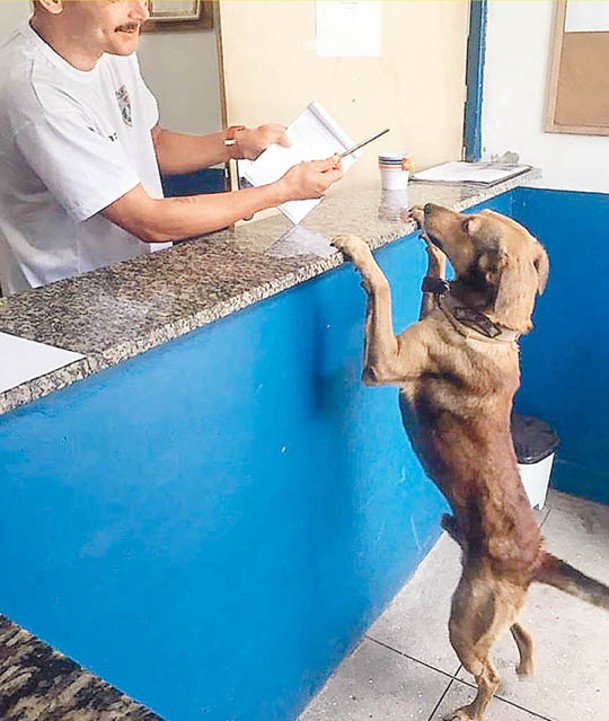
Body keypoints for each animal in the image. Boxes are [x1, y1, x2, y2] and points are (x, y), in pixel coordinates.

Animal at [332, 204, 608, 720]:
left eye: (468, 226)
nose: (427, 207)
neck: (486, 326)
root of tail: (536, 558)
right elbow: (428, 286)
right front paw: (432, 257)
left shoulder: (386, 361)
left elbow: (382, 285)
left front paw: (359, 252)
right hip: (484, 610)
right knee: (519, 631)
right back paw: (525, 662)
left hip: (463, 619)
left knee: (488, 675)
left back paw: (471, 710)